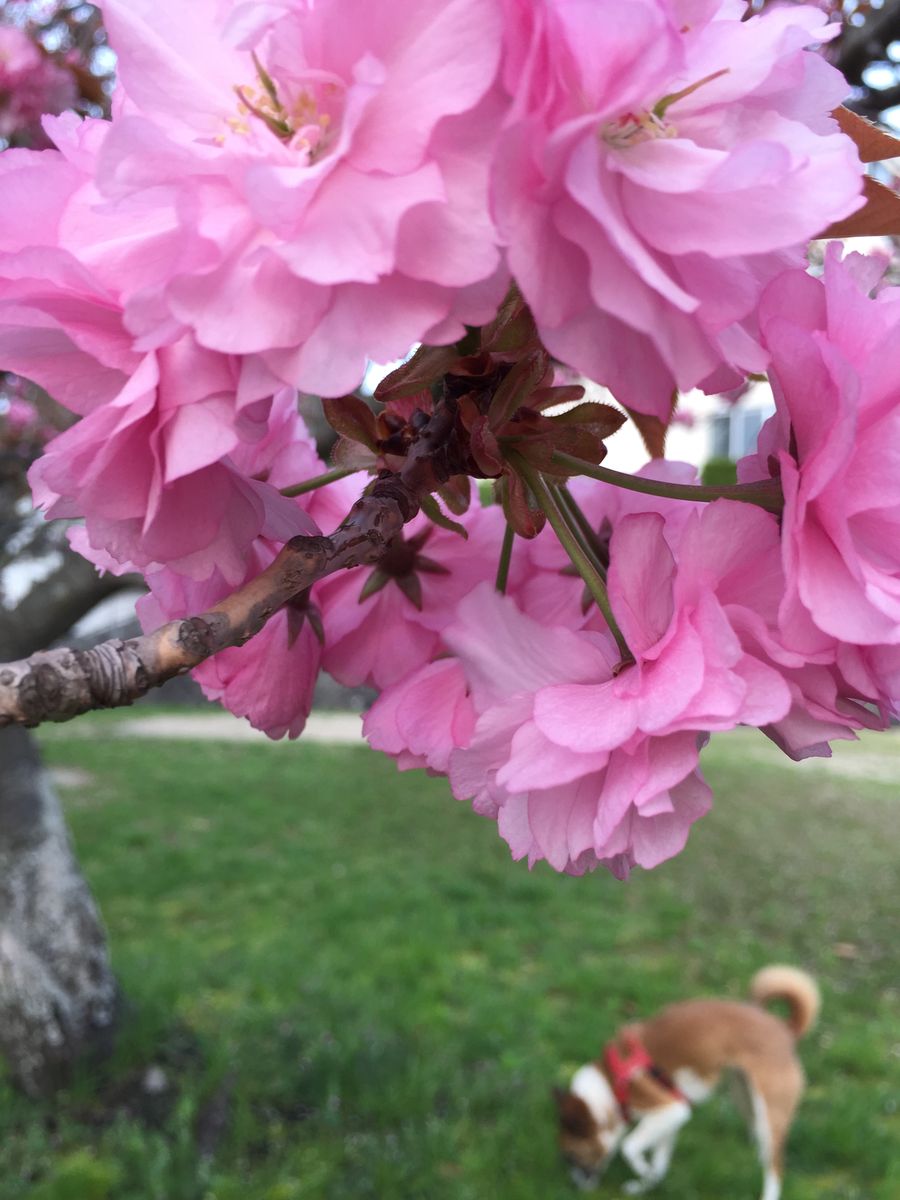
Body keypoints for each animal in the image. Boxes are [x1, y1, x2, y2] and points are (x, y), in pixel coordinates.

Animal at [554, 964, 820, 1200]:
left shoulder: (669, 1109)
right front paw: (646, 1184)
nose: (574, 1187)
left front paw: (643, 1171)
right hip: (743, 1094)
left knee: (776, 1166)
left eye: (570, 1156)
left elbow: (628, 1147)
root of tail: (783, 1029)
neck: (612, 1085)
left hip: (770, 1109)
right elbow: (659, 1164)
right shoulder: (671, 1118)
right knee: (760, 1138)